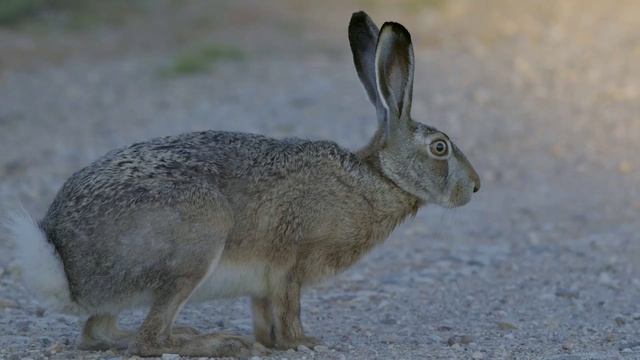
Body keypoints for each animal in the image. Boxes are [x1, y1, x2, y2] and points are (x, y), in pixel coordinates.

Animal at [5, 10, 478, 358]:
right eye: (440, 148)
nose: (474, 188)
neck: (378, 177)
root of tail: (66, 267)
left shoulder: (263, 281)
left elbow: (264, 311)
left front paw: (271, 342)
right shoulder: (291, 263)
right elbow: (289, 309)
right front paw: (303, 343)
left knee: (98, 332)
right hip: (196, 244)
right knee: (147, 341)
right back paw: (217, 343)